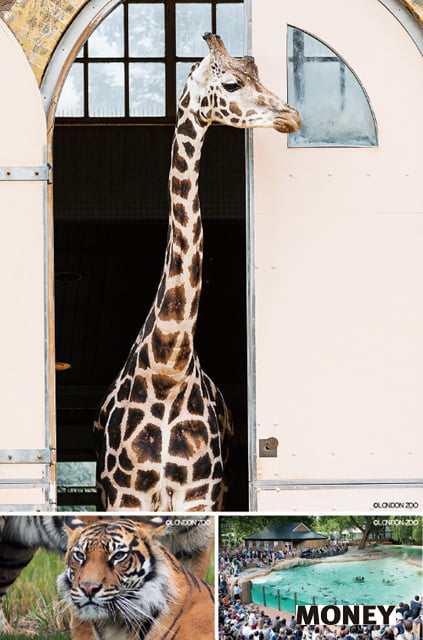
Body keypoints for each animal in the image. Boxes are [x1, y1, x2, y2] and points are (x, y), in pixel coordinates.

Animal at [95, 33, 302, 516]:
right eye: (231, 84)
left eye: (257, 75)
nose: (292, 116)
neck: (168, 369)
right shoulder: (126, 497)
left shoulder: (199, 495)